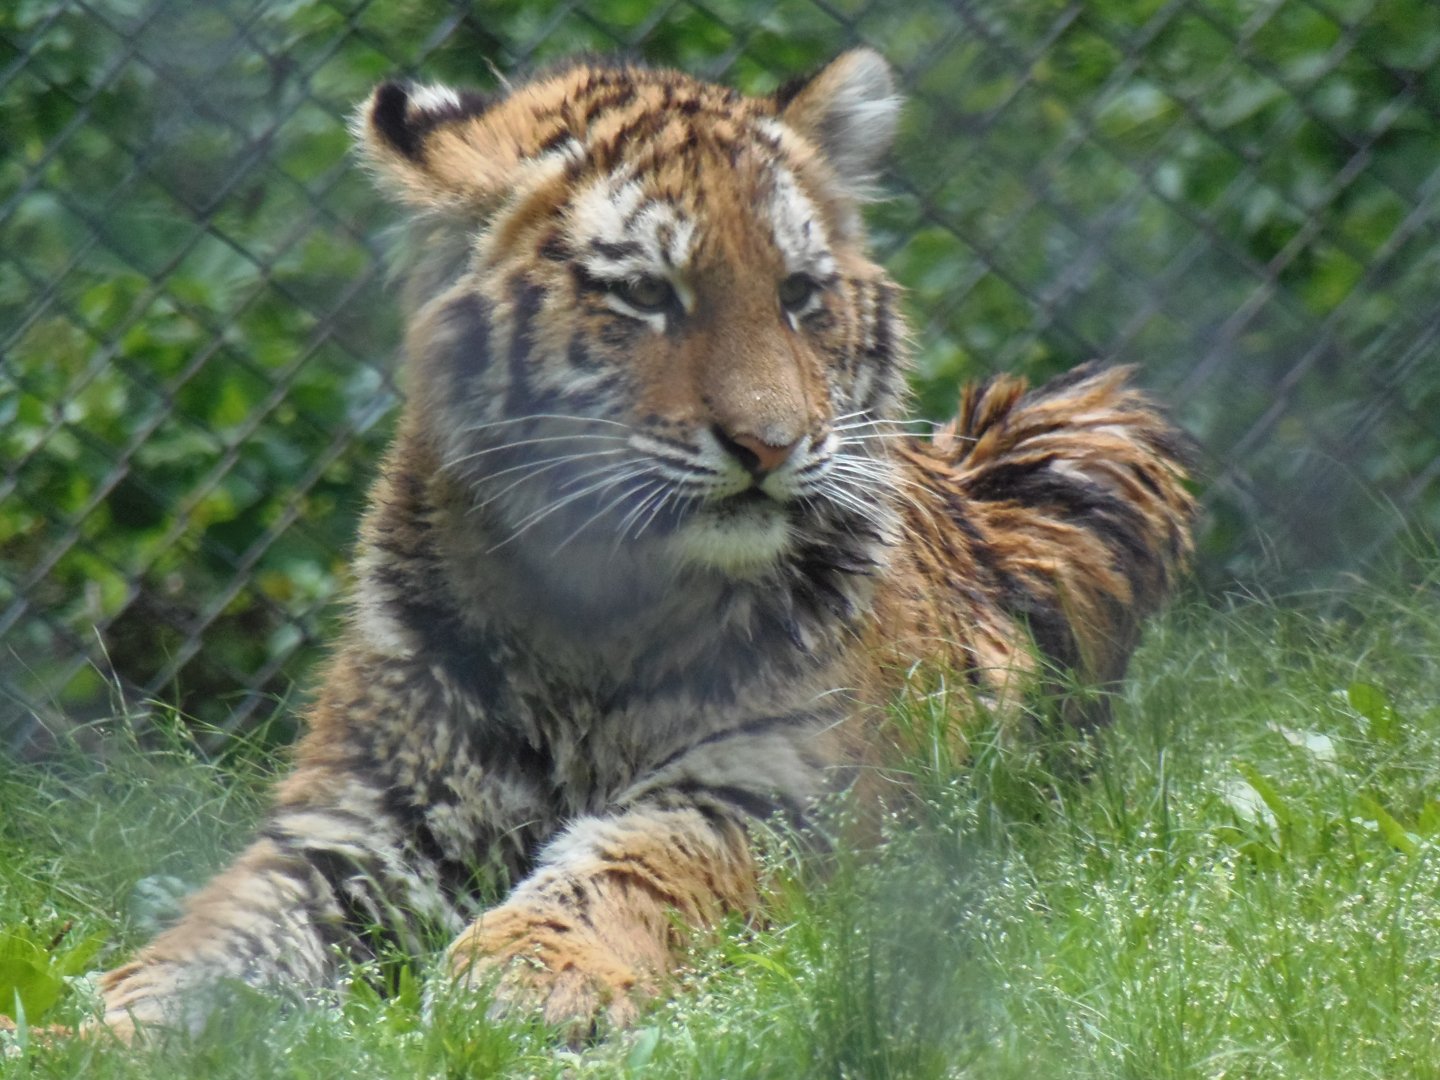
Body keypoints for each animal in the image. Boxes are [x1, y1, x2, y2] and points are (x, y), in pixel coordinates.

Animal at [91, 48, 1195, 1043]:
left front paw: (527, 975)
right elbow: (217, 935)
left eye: (800, 294)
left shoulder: (772, 792)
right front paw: (106, 1024)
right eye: (649, 295)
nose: (772, 444)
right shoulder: (360, 825)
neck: (594, 612)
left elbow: (630, 865)